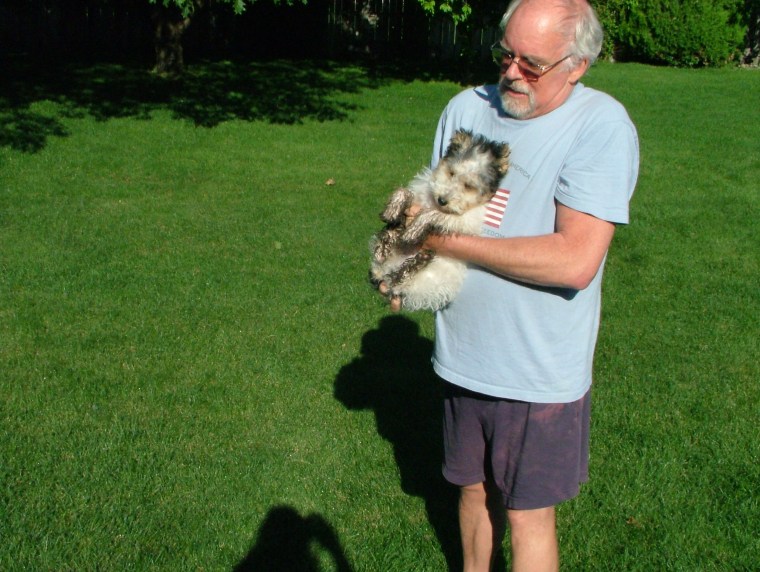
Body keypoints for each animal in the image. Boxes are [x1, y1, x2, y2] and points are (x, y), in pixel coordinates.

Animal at [370, 129, 510, 310]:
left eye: (469, 186)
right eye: (451, 173)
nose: (442, 200)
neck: (433, 202)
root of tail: (387, 270)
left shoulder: (466, 221)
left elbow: (438, 214)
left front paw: (413, 231)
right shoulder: (420, 192)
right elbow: (406, 191)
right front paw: (393, 209)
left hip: (431, 279)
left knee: (398, 280)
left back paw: (418, 258)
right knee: (383, 260)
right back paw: (386, 244)